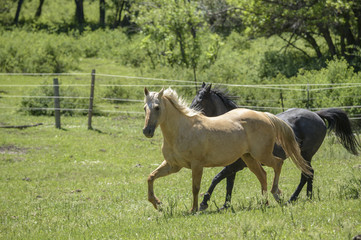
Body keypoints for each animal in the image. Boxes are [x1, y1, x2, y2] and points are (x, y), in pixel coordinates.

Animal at [142, 87, 310, 211]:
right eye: (145, 108)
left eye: (157, 107)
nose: (147, 131)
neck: (182, 130)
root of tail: (264, 115)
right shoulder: (173, 165)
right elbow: (150, 177)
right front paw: (157, 203)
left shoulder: (197, 165)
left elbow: (195, 188)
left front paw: (194, 209)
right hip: (249, 158)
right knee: (263, 175)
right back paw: (264, 202)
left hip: (262, 155)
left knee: (278, 163)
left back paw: (276, 194)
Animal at [190, 82, 358, 210]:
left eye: (199, 101)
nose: (191, 115)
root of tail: (317, 115)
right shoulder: (234, 165)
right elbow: (228, 184)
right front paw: (225, 205)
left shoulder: (235, 165)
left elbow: (217, 178)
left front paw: (204, 202)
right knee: (309, 174)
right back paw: (307, 197)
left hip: (306, 154)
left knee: (306, 174)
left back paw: (293, 198)